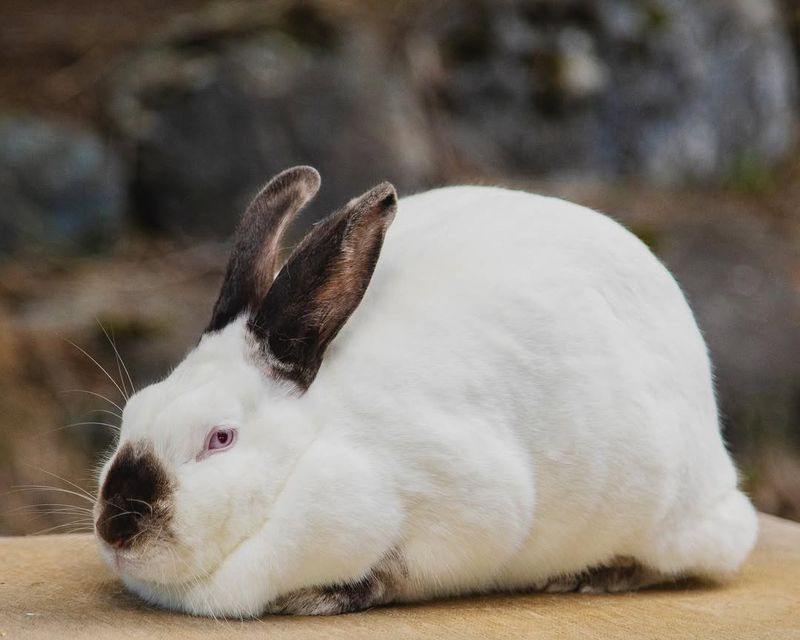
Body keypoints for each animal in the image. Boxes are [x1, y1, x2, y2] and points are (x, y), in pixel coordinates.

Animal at [92, 165, 756, 616]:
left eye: (220, 438)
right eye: (133, 412)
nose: (116, 527)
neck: (312, 448)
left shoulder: (472, 509)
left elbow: (396, 568)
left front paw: (317, 596)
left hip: (668, 506)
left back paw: (595, 575)